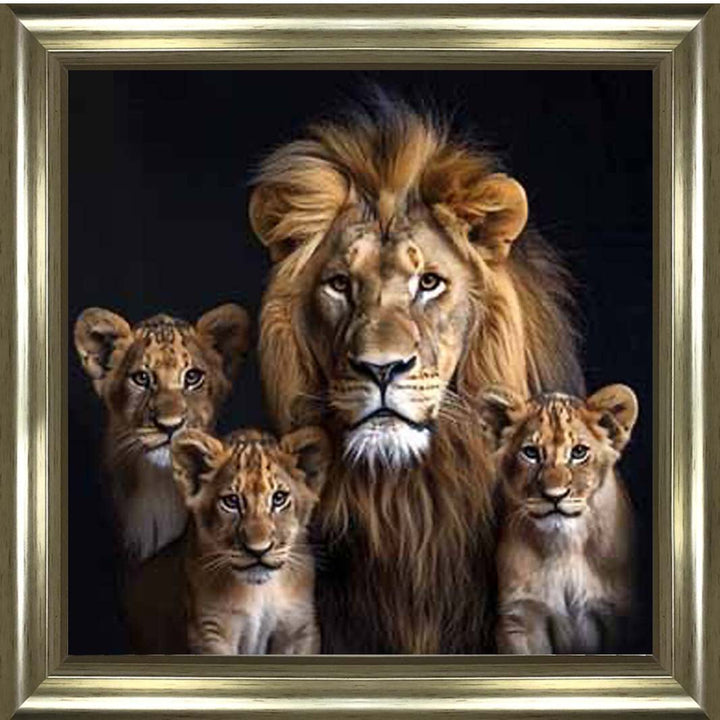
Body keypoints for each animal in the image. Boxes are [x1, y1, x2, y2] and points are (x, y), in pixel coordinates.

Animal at [480, 384, 638, 654]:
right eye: (530, 453)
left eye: (579, 452)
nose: (555, 496)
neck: (565, 545)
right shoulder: (521, 618)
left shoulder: (619, 613)